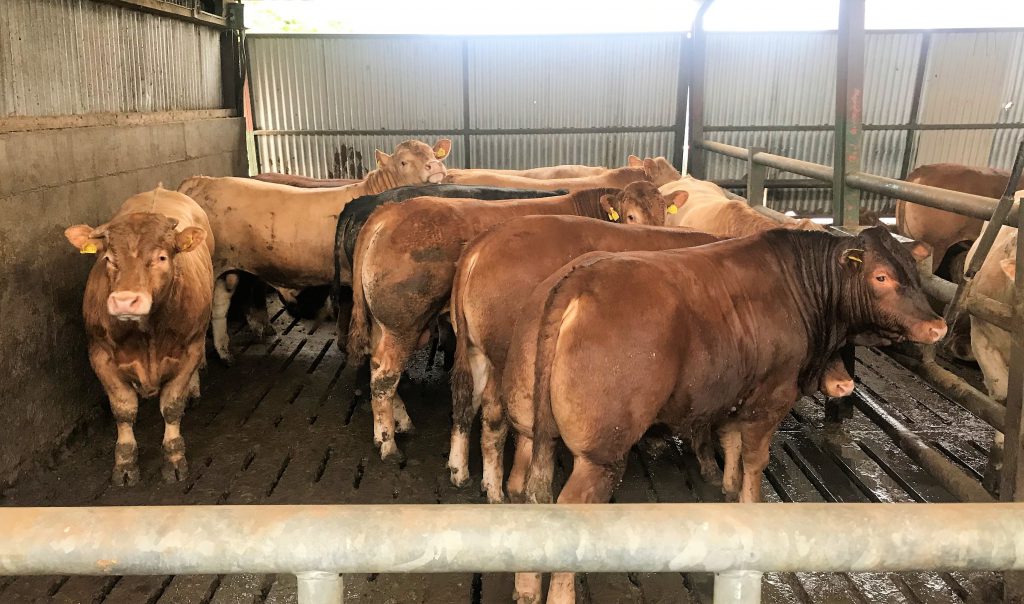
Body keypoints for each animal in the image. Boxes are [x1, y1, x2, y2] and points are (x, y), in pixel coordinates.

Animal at [63, 187, 214, 486]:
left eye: (162, 258)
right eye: (108, 259)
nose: (124, 301)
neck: (147, 335)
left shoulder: (189, 349)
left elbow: (172, 406)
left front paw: (175, 459)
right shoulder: (99, 356)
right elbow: (123, 409)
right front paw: (124, 463)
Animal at [178, 138, 452, 364]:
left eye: (433, 153)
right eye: (404, 161)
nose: (435, 167)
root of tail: (201, 180)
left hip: (229, 268)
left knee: (219, 307)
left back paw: (226, 353)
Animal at [346, 182, 674, 462]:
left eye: (664, 214)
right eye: (631, 215)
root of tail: (390, 211)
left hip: (384, 325)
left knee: (377, 366)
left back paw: (394, 426)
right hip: (404, 324)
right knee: (384, 377)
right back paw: (388, 445)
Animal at [502, 227, 944, 603]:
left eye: (913, 271)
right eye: (881, 277)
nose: (937, 326)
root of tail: (579, 280)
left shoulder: (737, 393)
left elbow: (730, 441)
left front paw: (729, 488)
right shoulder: (771, 397)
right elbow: (755, 458)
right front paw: (750, 502)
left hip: (529, 426)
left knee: (527, 492)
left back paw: (526, 588)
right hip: (600, 452)